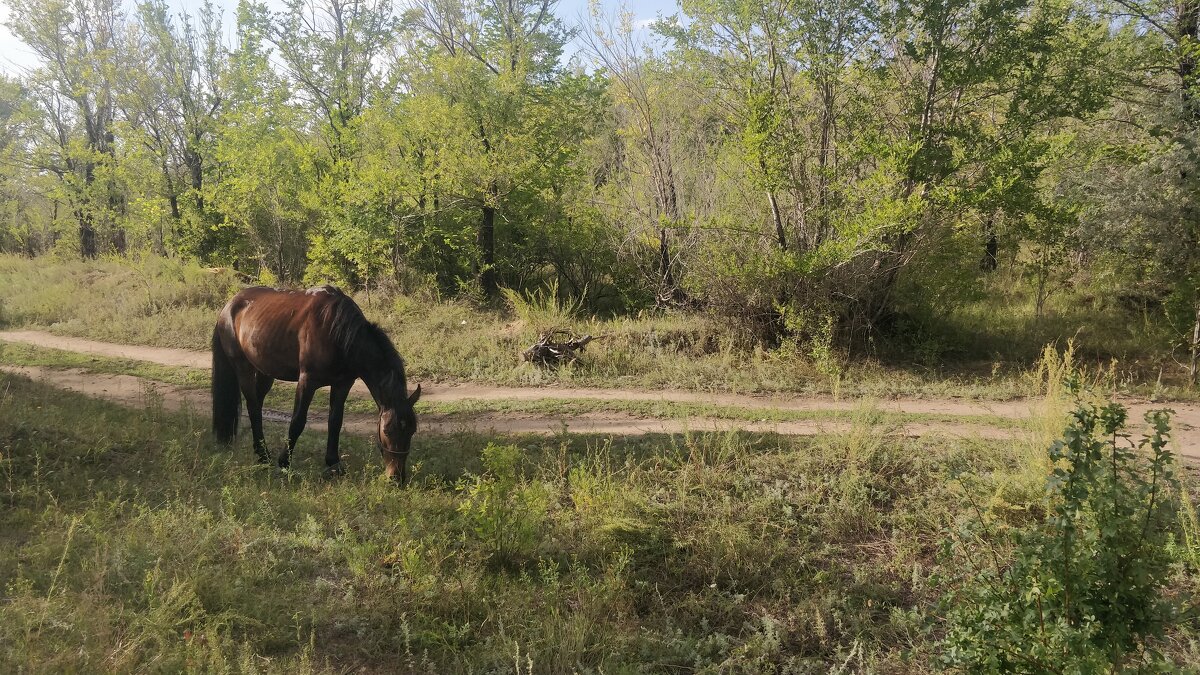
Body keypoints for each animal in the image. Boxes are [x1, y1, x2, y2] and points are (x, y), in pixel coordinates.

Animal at [211, 285, 422, 480]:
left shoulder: (342, 384)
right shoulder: (307, 381)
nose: (396, 477)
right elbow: (297, 421)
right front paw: (284, 462)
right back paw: (264, 457)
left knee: (257, 405)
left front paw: (334, 463)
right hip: (243, 368)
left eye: (412, 431)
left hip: (265, 372)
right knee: (253, 407)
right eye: (387, 430)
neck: (337, 332)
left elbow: (335, 421)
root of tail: (229, 305)